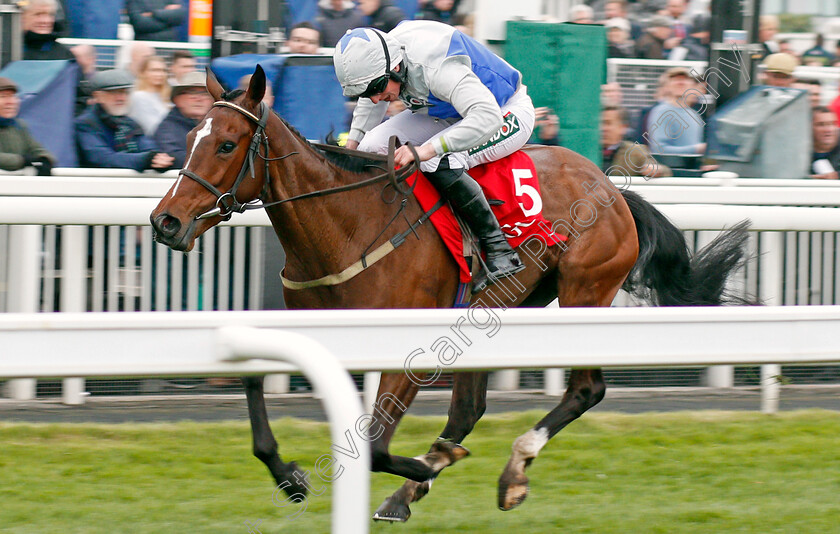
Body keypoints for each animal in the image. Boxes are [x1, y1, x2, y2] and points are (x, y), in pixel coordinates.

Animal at [149, 67, 748, 524]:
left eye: (227, 144)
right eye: (189, 139)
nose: (165, 222)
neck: (345, 226)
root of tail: (612, 187)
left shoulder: (406, 346)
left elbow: (375, 445)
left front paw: (418, 465)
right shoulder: (318, 327)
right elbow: (255, 383)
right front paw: (292, 477)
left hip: (586, 291)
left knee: (586, 390)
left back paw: (508, 470)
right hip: (497, 306)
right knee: (469, 408)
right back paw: (414, 488)